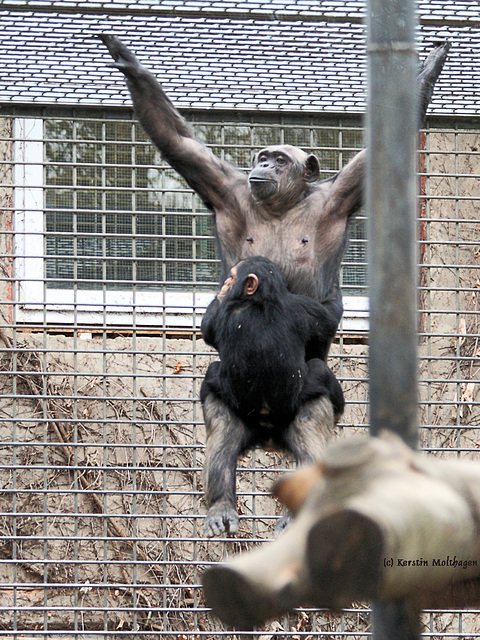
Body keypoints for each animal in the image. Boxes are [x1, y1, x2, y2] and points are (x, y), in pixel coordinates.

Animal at [98, 36, 450, 536]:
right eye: (261, 157)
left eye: (279, 159)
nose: (263, 163)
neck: (283, 204)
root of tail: (266, 436)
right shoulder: (227, 188)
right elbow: (180, 143)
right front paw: (125, 60)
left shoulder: (338, 196)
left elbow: (377, 157)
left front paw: (432, 63)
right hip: (240, 415)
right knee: (223, 433)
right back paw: (221, 506)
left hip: (299, 414)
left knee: (310, 431)